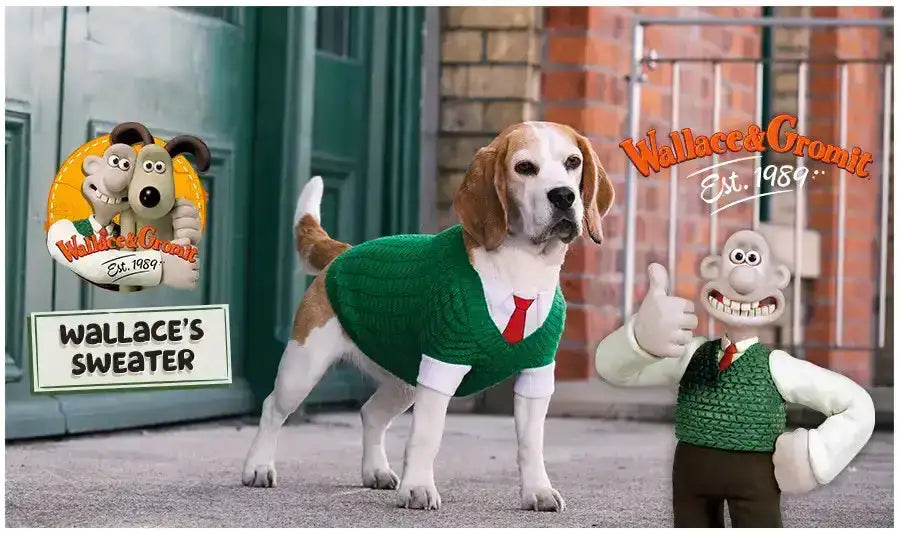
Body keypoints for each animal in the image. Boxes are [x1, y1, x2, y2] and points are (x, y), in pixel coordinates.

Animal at [243, 122, 616, 516]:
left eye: (573, 162)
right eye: (525, 167)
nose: (563, 196)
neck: (521, 269)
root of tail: (342, 254)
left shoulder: (537, 375)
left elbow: (531, 444)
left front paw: (537, 491)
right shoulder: (442, 366)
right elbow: (426, 436)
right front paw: (418, 488)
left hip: (404, 382)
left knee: (371, 414)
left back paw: (375, 470)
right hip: (303, 370)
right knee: (271, 408)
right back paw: (258, 466)